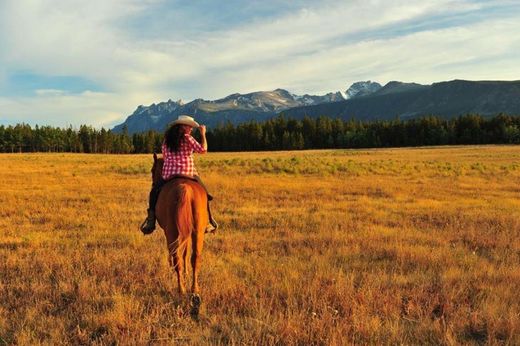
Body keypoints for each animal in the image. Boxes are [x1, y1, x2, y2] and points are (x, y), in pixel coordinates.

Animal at [149, 154, 208, 306]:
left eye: (152, 170)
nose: (153, 184)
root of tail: (184, 188)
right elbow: (186, 252)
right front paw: (186, 272)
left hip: (172, 232)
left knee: (177, 258)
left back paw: (181, 290)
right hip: (197, 232)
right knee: (195, 257)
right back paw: (194, 290)